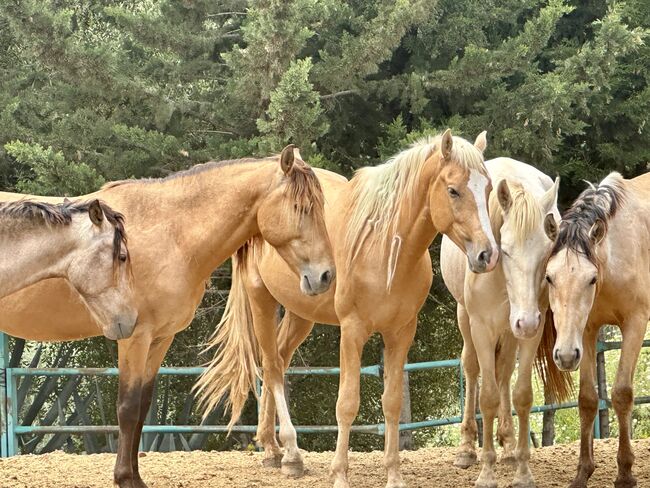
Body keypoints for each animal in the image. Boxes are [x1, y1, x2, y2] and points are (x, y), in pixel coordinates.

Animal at [195, 130, 499, 488]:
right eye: (453, 190)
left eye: (489, 189)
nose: (487, 254)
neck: (383, 247)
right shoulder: (353, 332)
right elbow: (347, 404)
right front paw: (339, 474)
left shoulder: (401, 333)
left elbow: (392, 403)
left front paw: (394, 474)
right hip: (262, 301)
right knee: (271, 366)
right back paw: (289, 454)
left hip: (301, 314)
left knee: (279, 361)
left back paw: (273, 448)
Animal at [440, 157, 572, 488]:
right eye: (507, 250)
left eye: (546, 253)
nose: (526, 320)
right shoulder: (482, 329)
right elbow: (486, 397)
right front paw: (487, 473)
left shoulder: (529, 330)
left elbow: (521, 395)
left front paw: (522, 470)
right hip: (467, 319)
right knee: (472, 368)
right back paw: (467, 450)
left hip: (511, 332)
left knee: (503, 374)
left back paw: (509, 446)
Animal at [543, 171, 650, 488]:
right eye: (549, 277)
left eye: (591, 278)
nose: (564, 356)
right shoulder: (587, 331)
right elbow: (588, 399)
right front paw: (583, 471)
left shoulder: (635, 324)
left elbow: (622, 394)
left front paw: (625, 473)